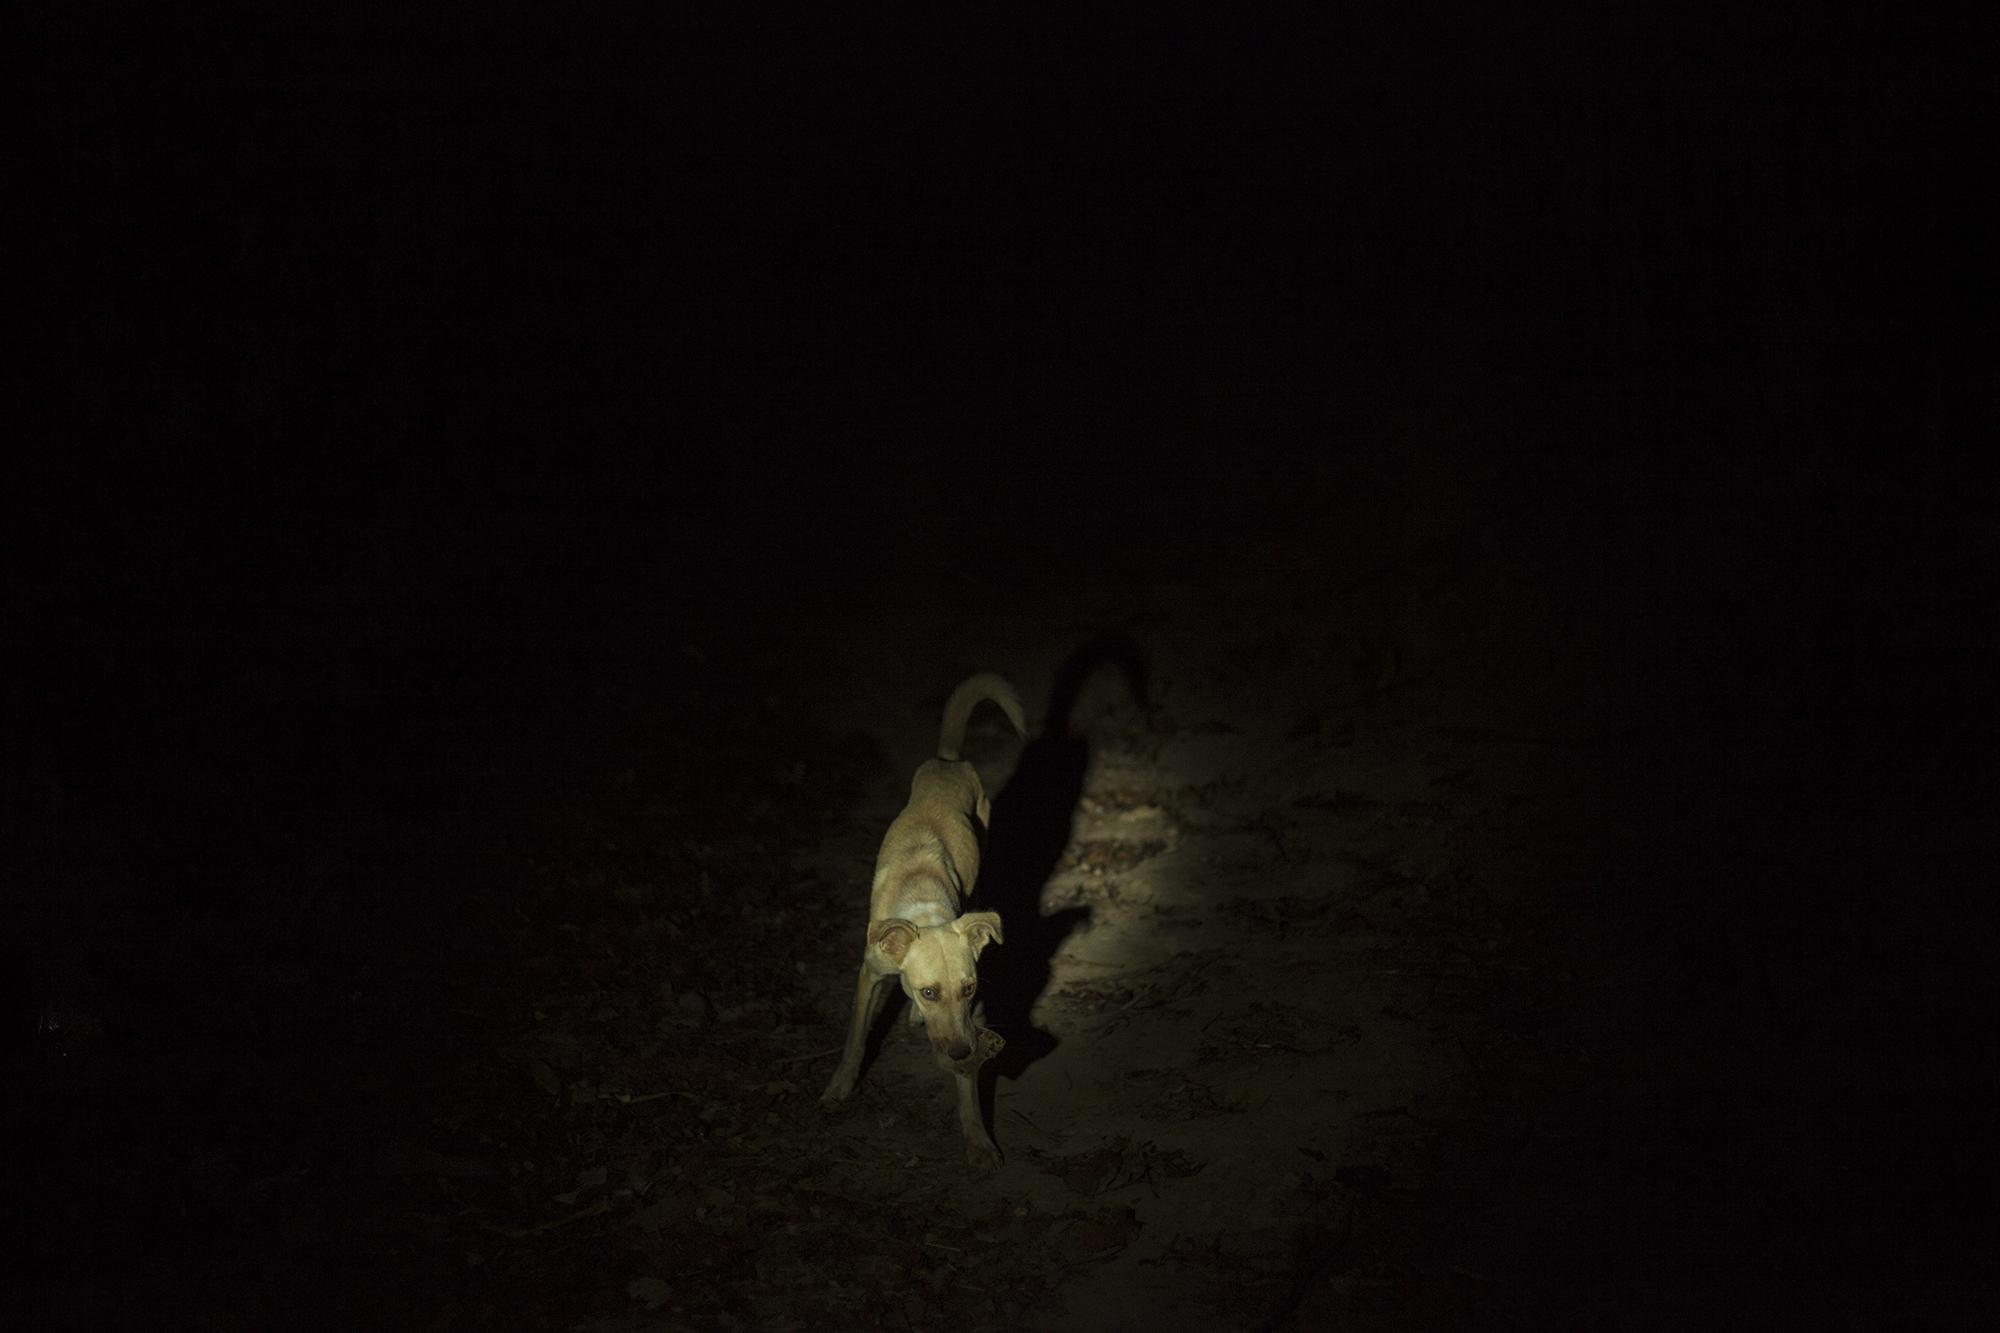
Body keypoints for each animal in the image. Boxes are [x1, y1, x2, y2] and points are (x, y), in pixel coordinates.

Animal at [820, 668, 1024, 1160]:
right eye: (930, 992)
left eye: (969, 988)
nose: (960, 1051)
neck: (925, 910)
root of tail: (947, 762)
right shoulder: (870, 974)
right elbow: (855, 1040)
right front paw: (839, 1088)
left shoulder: (971, 1018)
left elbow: (968, 1082)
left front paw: (977, 1139)